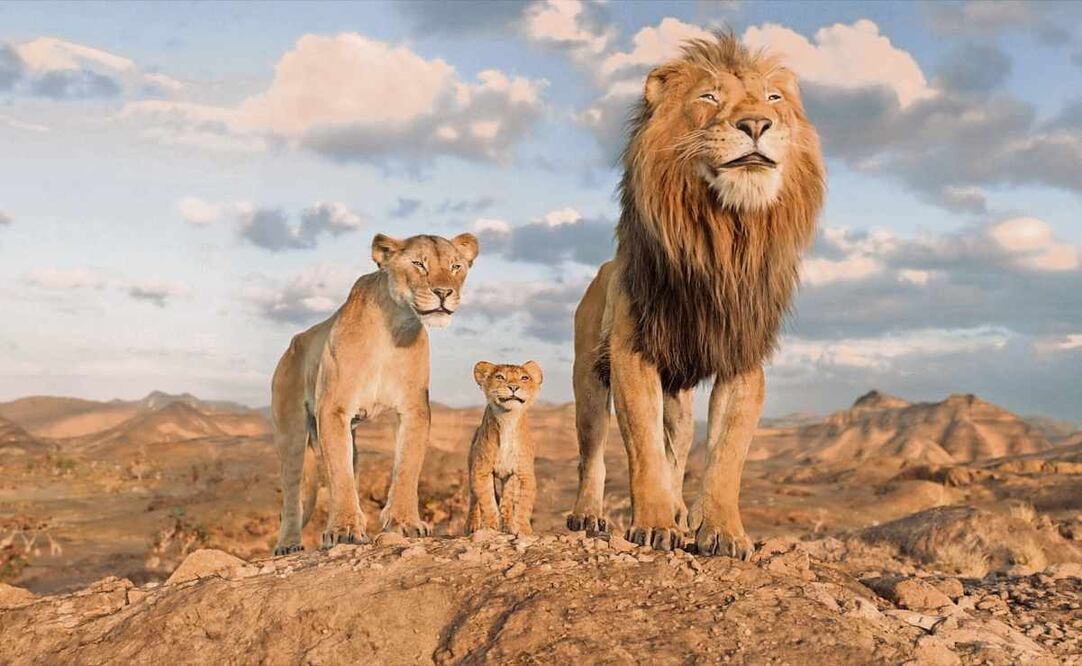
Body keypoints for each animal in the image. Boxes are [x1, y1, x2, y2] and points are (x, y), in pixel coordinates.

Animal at [271, 232, 479, 555]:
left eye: (456, 266)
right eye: (419, 264)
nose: (444, 292)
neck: (394, 326)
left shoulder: (414, 409)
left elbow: (407, 467)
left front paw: (405, 522)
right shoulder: (334, 408)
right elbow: (339, 474)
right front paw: (343, 530)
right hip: (291, 430)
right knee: (293, 491)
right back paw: (288, 544)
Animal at [465, 360, 543, 536]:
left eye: (524, 378)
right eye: (500, 377)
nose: (513, 387)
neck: (508, 419)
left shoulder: (525, 474)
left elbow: (524, 505)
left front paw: (523, 529)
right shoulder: (481, 471)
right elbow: (487, 502)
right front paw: (490, 527)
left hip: (510, 478)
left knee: (507, 502)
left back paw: (508, 525)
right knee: (474, 498)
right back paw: (471, 525)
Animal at [567, 33, 825, 557]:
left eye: (774, 98)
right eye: (709, 97)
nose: (756, 124)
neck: (723, 237)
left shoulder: (742, 357)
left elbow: (727, 455)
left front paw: (722, 532)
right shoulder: (632, 353)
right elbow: (643, 450)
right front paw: (653, 524)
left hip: (679, 400)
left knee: (679, 450)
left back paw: (681, 509)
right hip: (588, 379)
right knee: (593, 453)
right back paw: (589, 516)